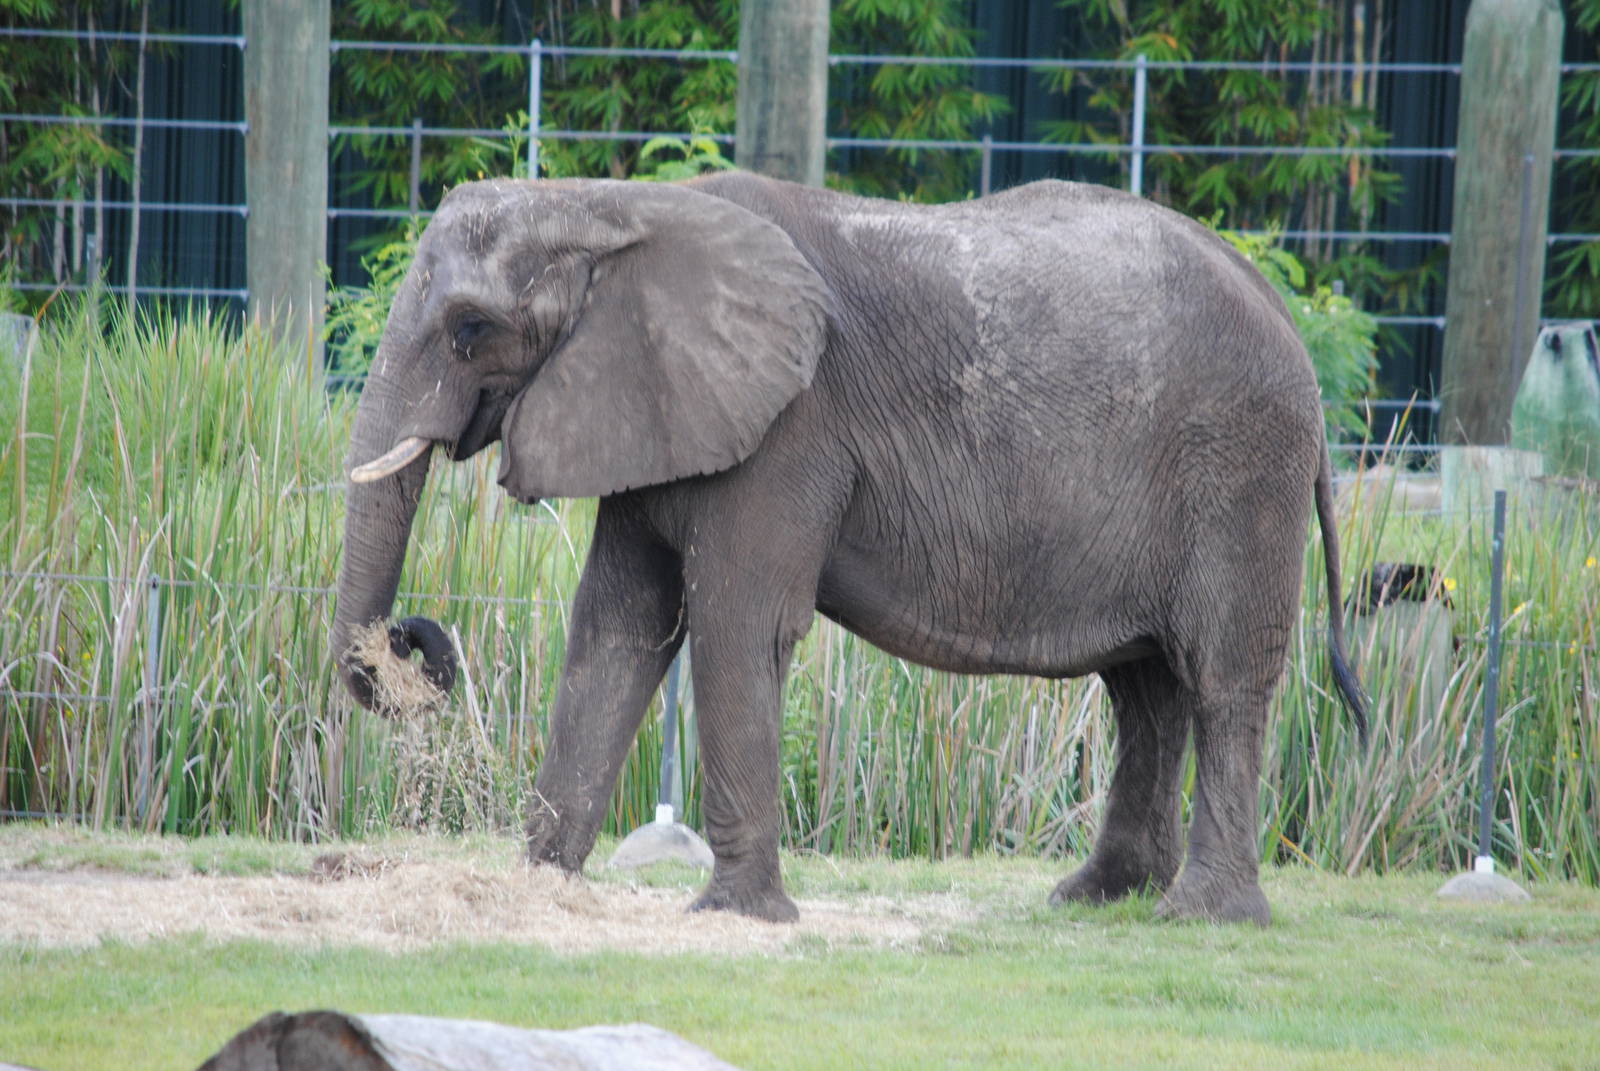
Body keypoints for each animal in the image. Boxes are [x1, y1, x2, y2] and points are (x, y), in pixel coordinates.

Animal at [332, 171, 1367, 926]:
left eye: (471, 330)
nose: (413, 638)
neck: (606, 202)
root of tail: (1287, 321)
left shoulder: (787, 429)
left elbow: (737, 624)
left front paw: (736, 917)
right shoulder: (663, 402)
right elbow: (618, 627)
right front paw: (542, 886)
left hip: (1242, 470)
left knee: (1219, 677)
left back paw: (1202, 917)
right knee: (1145, 688)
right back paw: (1095, 898)